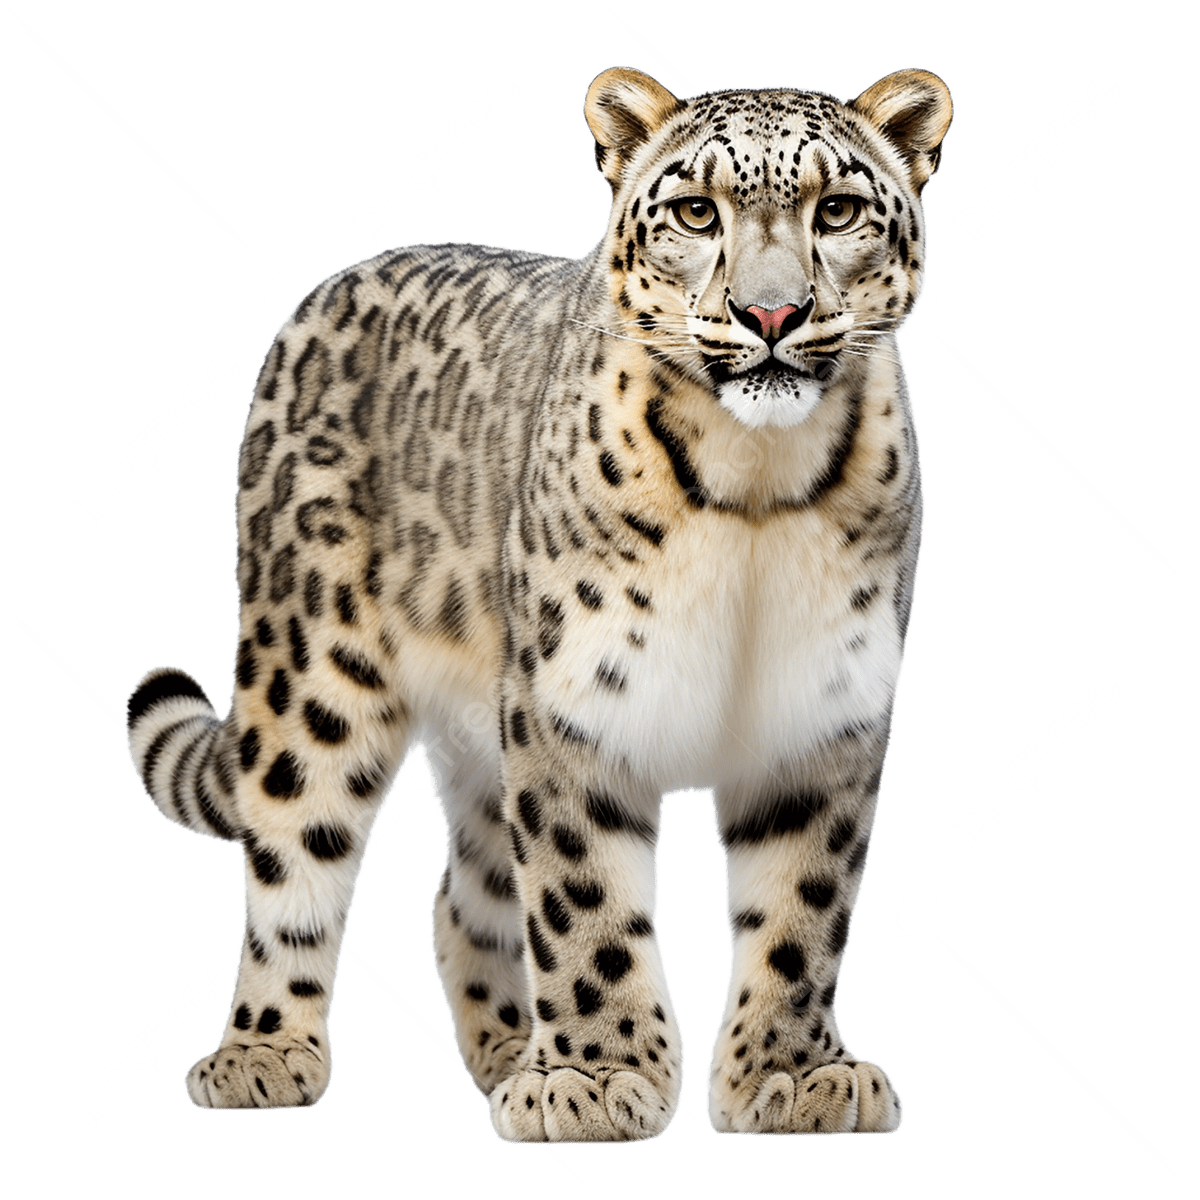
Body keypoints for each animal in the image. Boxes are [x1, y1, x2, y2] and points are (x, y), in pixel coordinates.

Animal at [124, 63, 953, 1141]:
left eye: (840, 209)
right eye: (696, 211)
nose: (770, 314)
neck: (755, 485)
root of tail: (324, 292)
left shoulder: (823, 707)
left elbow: (802, 907)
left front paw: (791, 1074)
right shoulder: (575, 697)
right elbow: (584, 895)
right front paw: (598, 1082)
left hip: (481, 734)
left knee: (460, 896)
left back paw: (509, 1057)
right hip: (313, 670)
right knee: (296, 850)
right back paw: (265, 1057)